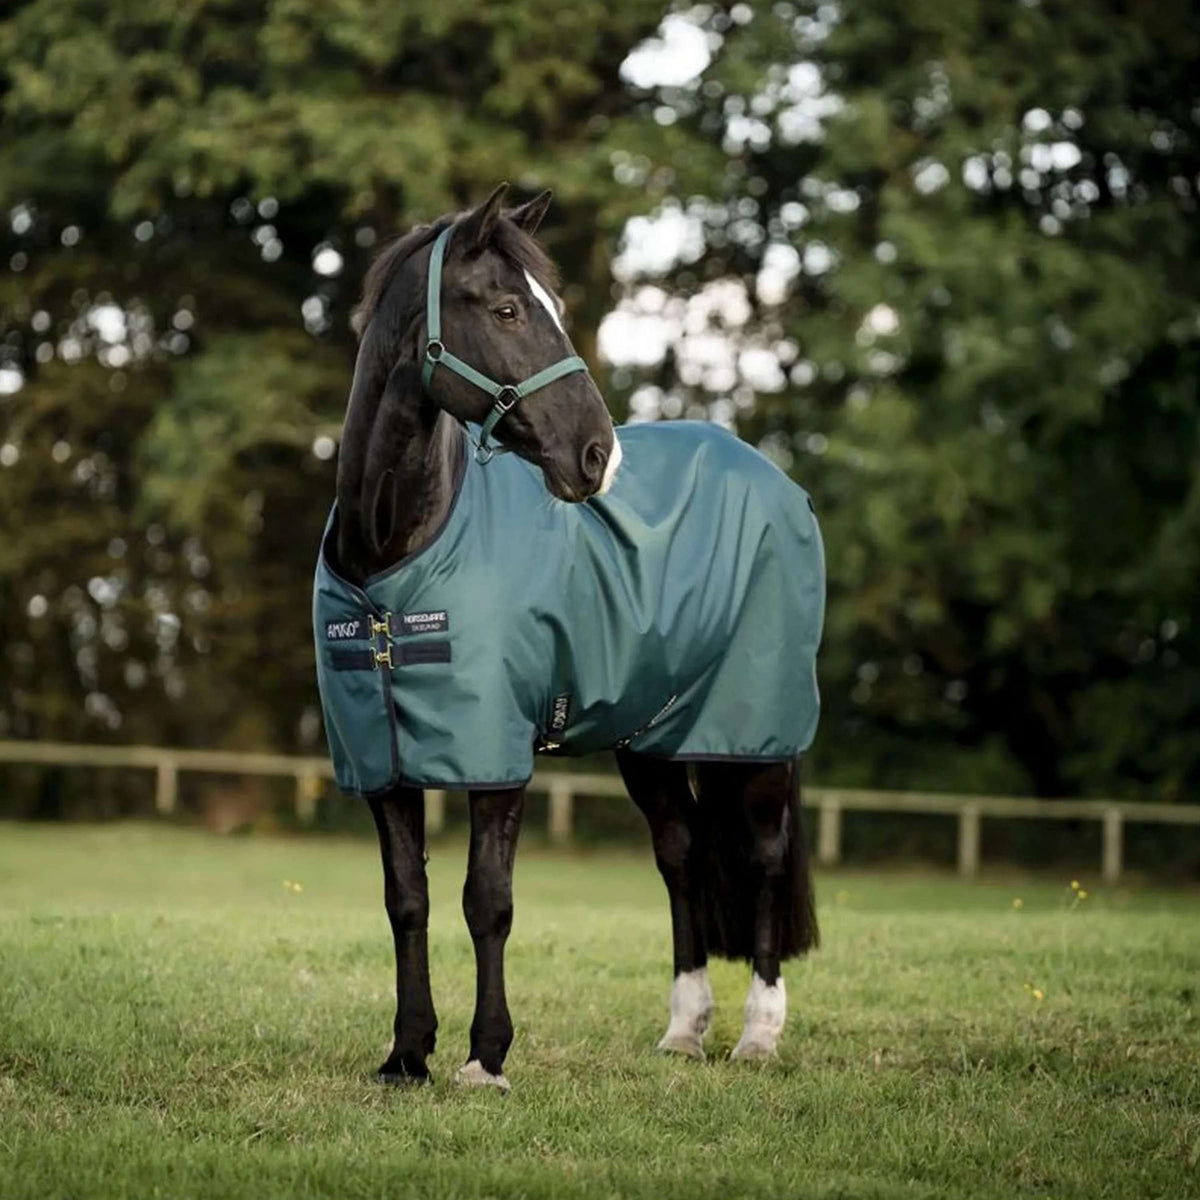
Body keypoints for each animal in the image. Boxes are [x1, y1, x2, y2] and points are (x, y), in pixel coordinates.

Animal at [314, 183, 824, 1091]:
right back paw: (684, 1029)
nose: (597, 456)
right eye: (508, 308)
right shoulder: (381, 761)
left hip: (757, 737)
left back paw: (759, 1033)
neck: (393, 560)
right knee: (681, 854)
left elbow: (487, 901)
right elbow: (407, 900)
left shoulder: (496, 757)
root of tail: (775, 480)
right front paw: (407, 1054)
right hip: (650, 740)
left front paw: (485, 1057)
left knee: (763, 860)